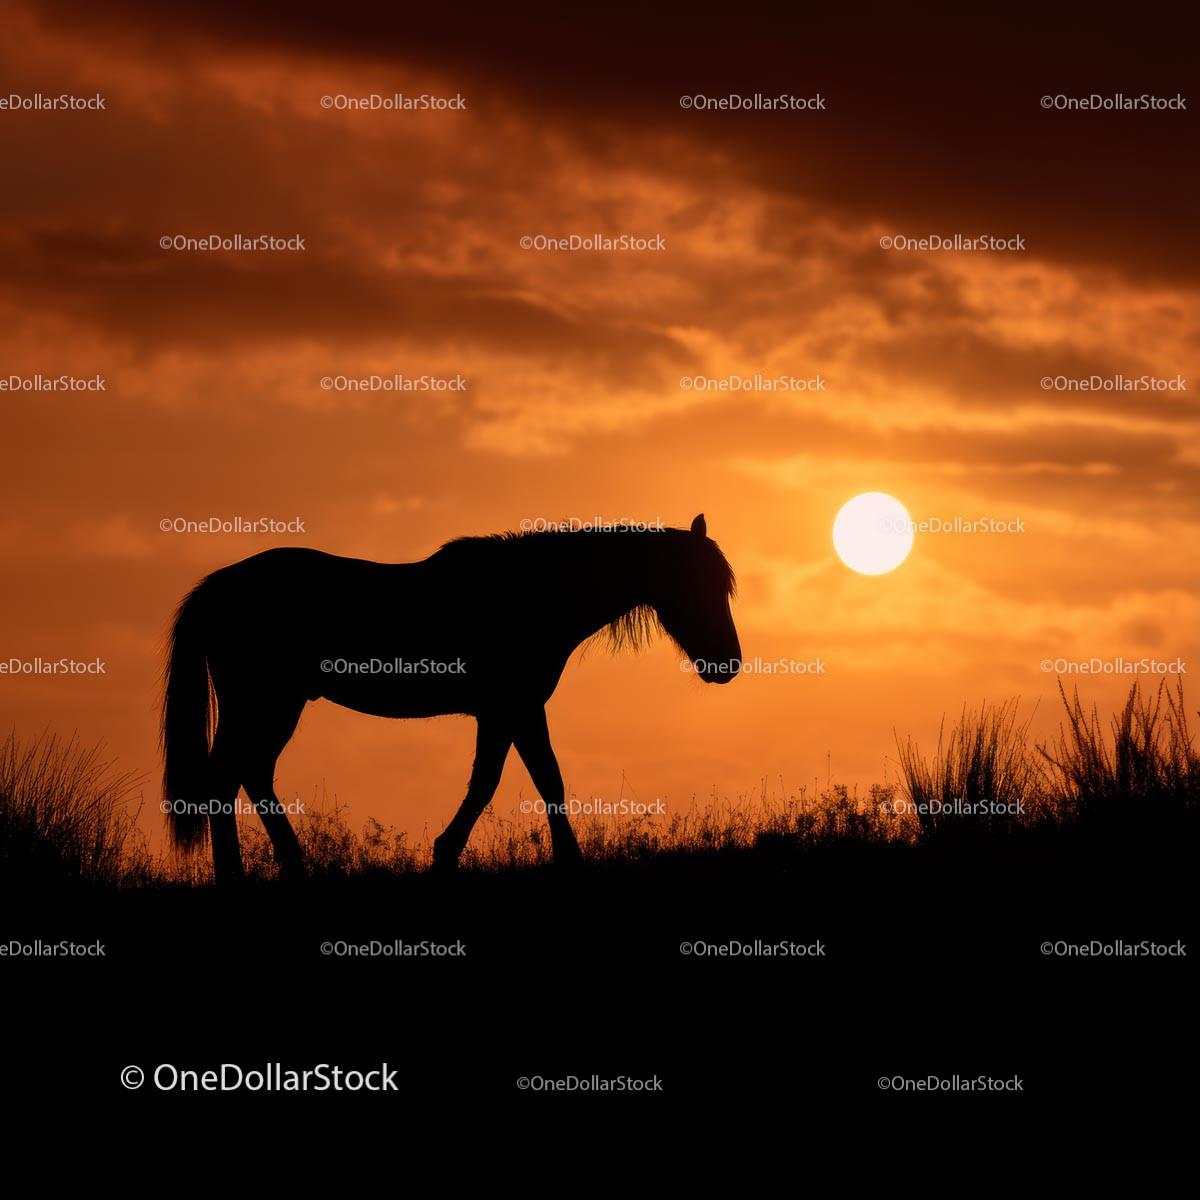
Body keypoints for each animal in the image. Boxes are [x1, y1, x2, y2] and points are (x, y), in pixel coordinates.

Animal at [160, 513, 740, 884]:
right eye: (699, 585)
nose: (729, 664)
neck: (533, 594)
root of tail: (215, 589)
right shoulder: (515, 707)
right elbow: (523, 781)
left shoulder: (508, 712)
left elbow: (512, 780)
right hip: (266, 701)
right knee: (229, 776)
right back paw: (239, 877)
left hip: (270, 704)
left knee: (246, 774)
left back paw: (287, 867)